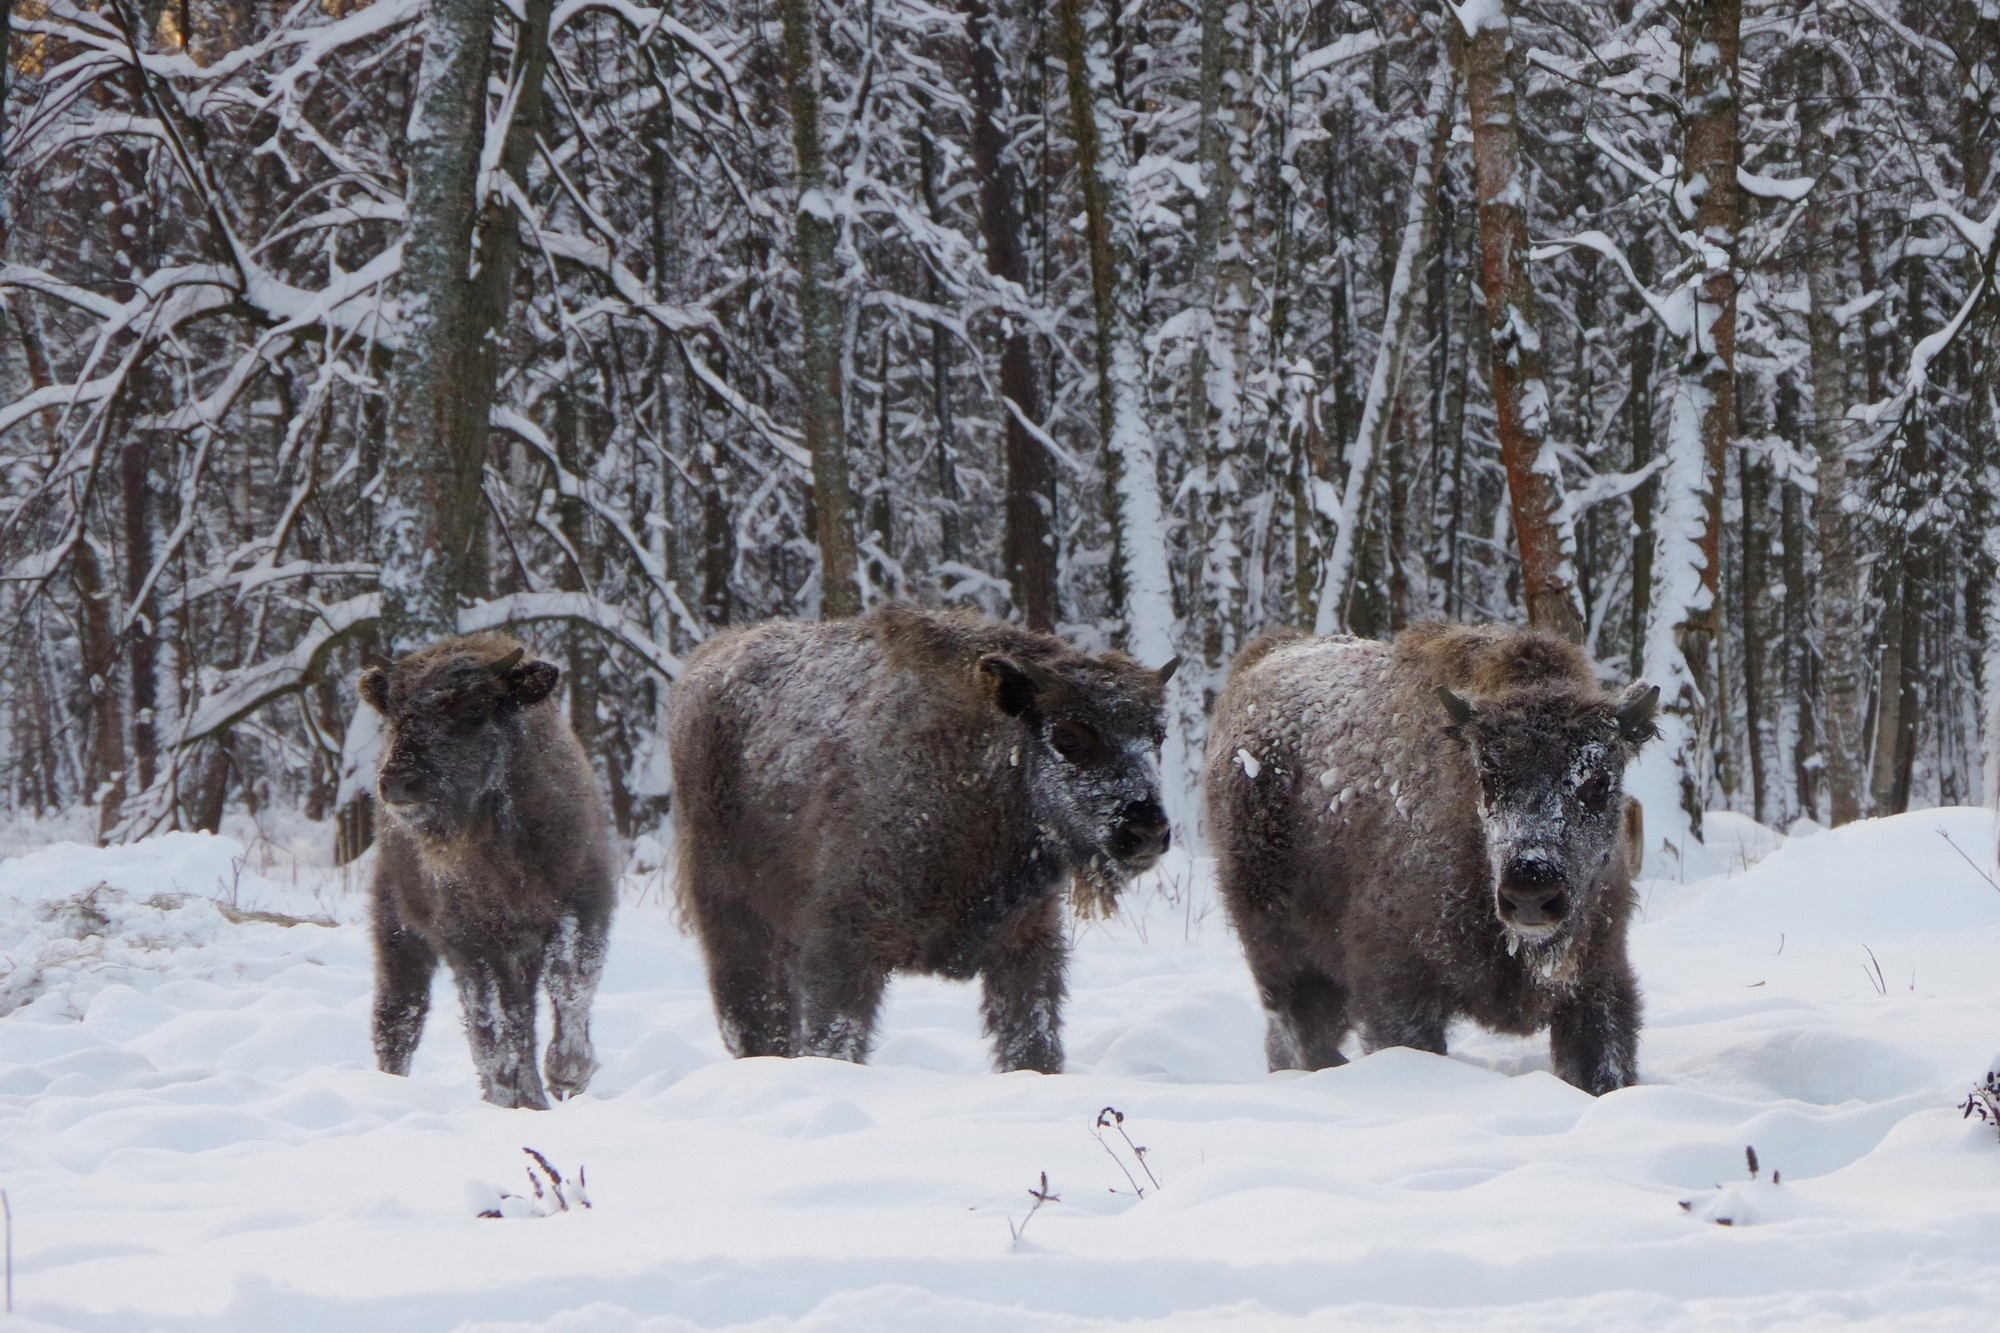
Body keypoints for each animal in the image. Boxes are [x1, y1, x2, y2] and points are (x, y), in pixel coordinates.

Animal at [356, 628, 612, 1104]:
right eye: (396, 713)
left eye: (475, 709)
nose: (399, 781)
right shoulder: (473, 944)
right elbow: (492, 1028)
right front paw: (514, 1094)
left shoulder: (582, 907)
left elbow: (570, 985)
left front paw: (567, 1075)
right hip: (399, 936)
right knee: (399, 1018)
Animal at [672, 600, 1168, 1072]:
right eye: (1067, 735)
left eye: (1158, 736)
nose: (1148, 831)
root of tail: (706, 661)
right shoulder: (841, 950)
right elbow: (834, 1038)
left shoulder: (1026, 945)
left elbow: (1033, 1043)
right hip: (733, 918)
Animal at [1208, 620, 1664, 1088]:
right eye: (1487, 779)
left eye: (1599, 783)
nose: (1531, 895)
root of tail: (1262, 656)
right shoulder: (1398, 992)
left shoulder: (1597, 980)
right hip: (1281, 954)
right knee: (1303, 1031)